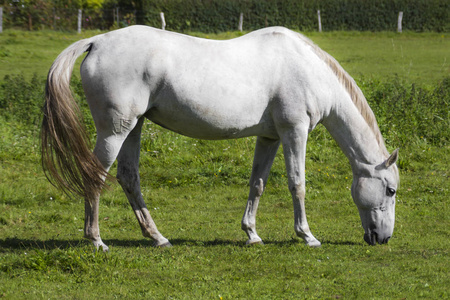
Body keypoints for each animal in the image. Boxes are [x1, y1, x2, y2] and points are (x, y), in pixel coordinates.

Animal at [41, 26, 400, 251]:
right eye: (390, 190)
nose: (383, 238)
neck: (308, 69)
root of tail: (98, 41)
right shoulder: (293, 131)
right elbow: (297, 183)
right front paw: (307, 236)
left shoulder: (269, 137)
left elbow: (258, 183)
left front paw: (252, 234)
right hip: (115, 131)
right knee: (96, 176)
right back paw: (96, 241)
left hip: (134, 127)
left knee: (129, 178)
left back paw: (158, 238)